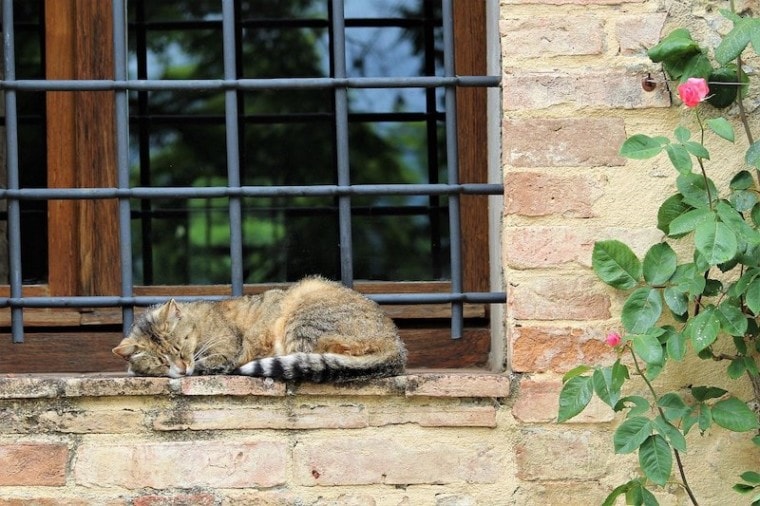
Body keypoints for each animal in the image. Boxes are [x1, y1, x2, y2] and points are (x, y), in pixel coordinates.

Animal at [110, 274, 406, 382]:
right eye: (161, 361)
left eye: (180, 347)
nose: (182, 367)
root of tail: (396, 344)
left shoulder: (227, 350)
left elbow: (216, 361)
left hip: (303, 308)